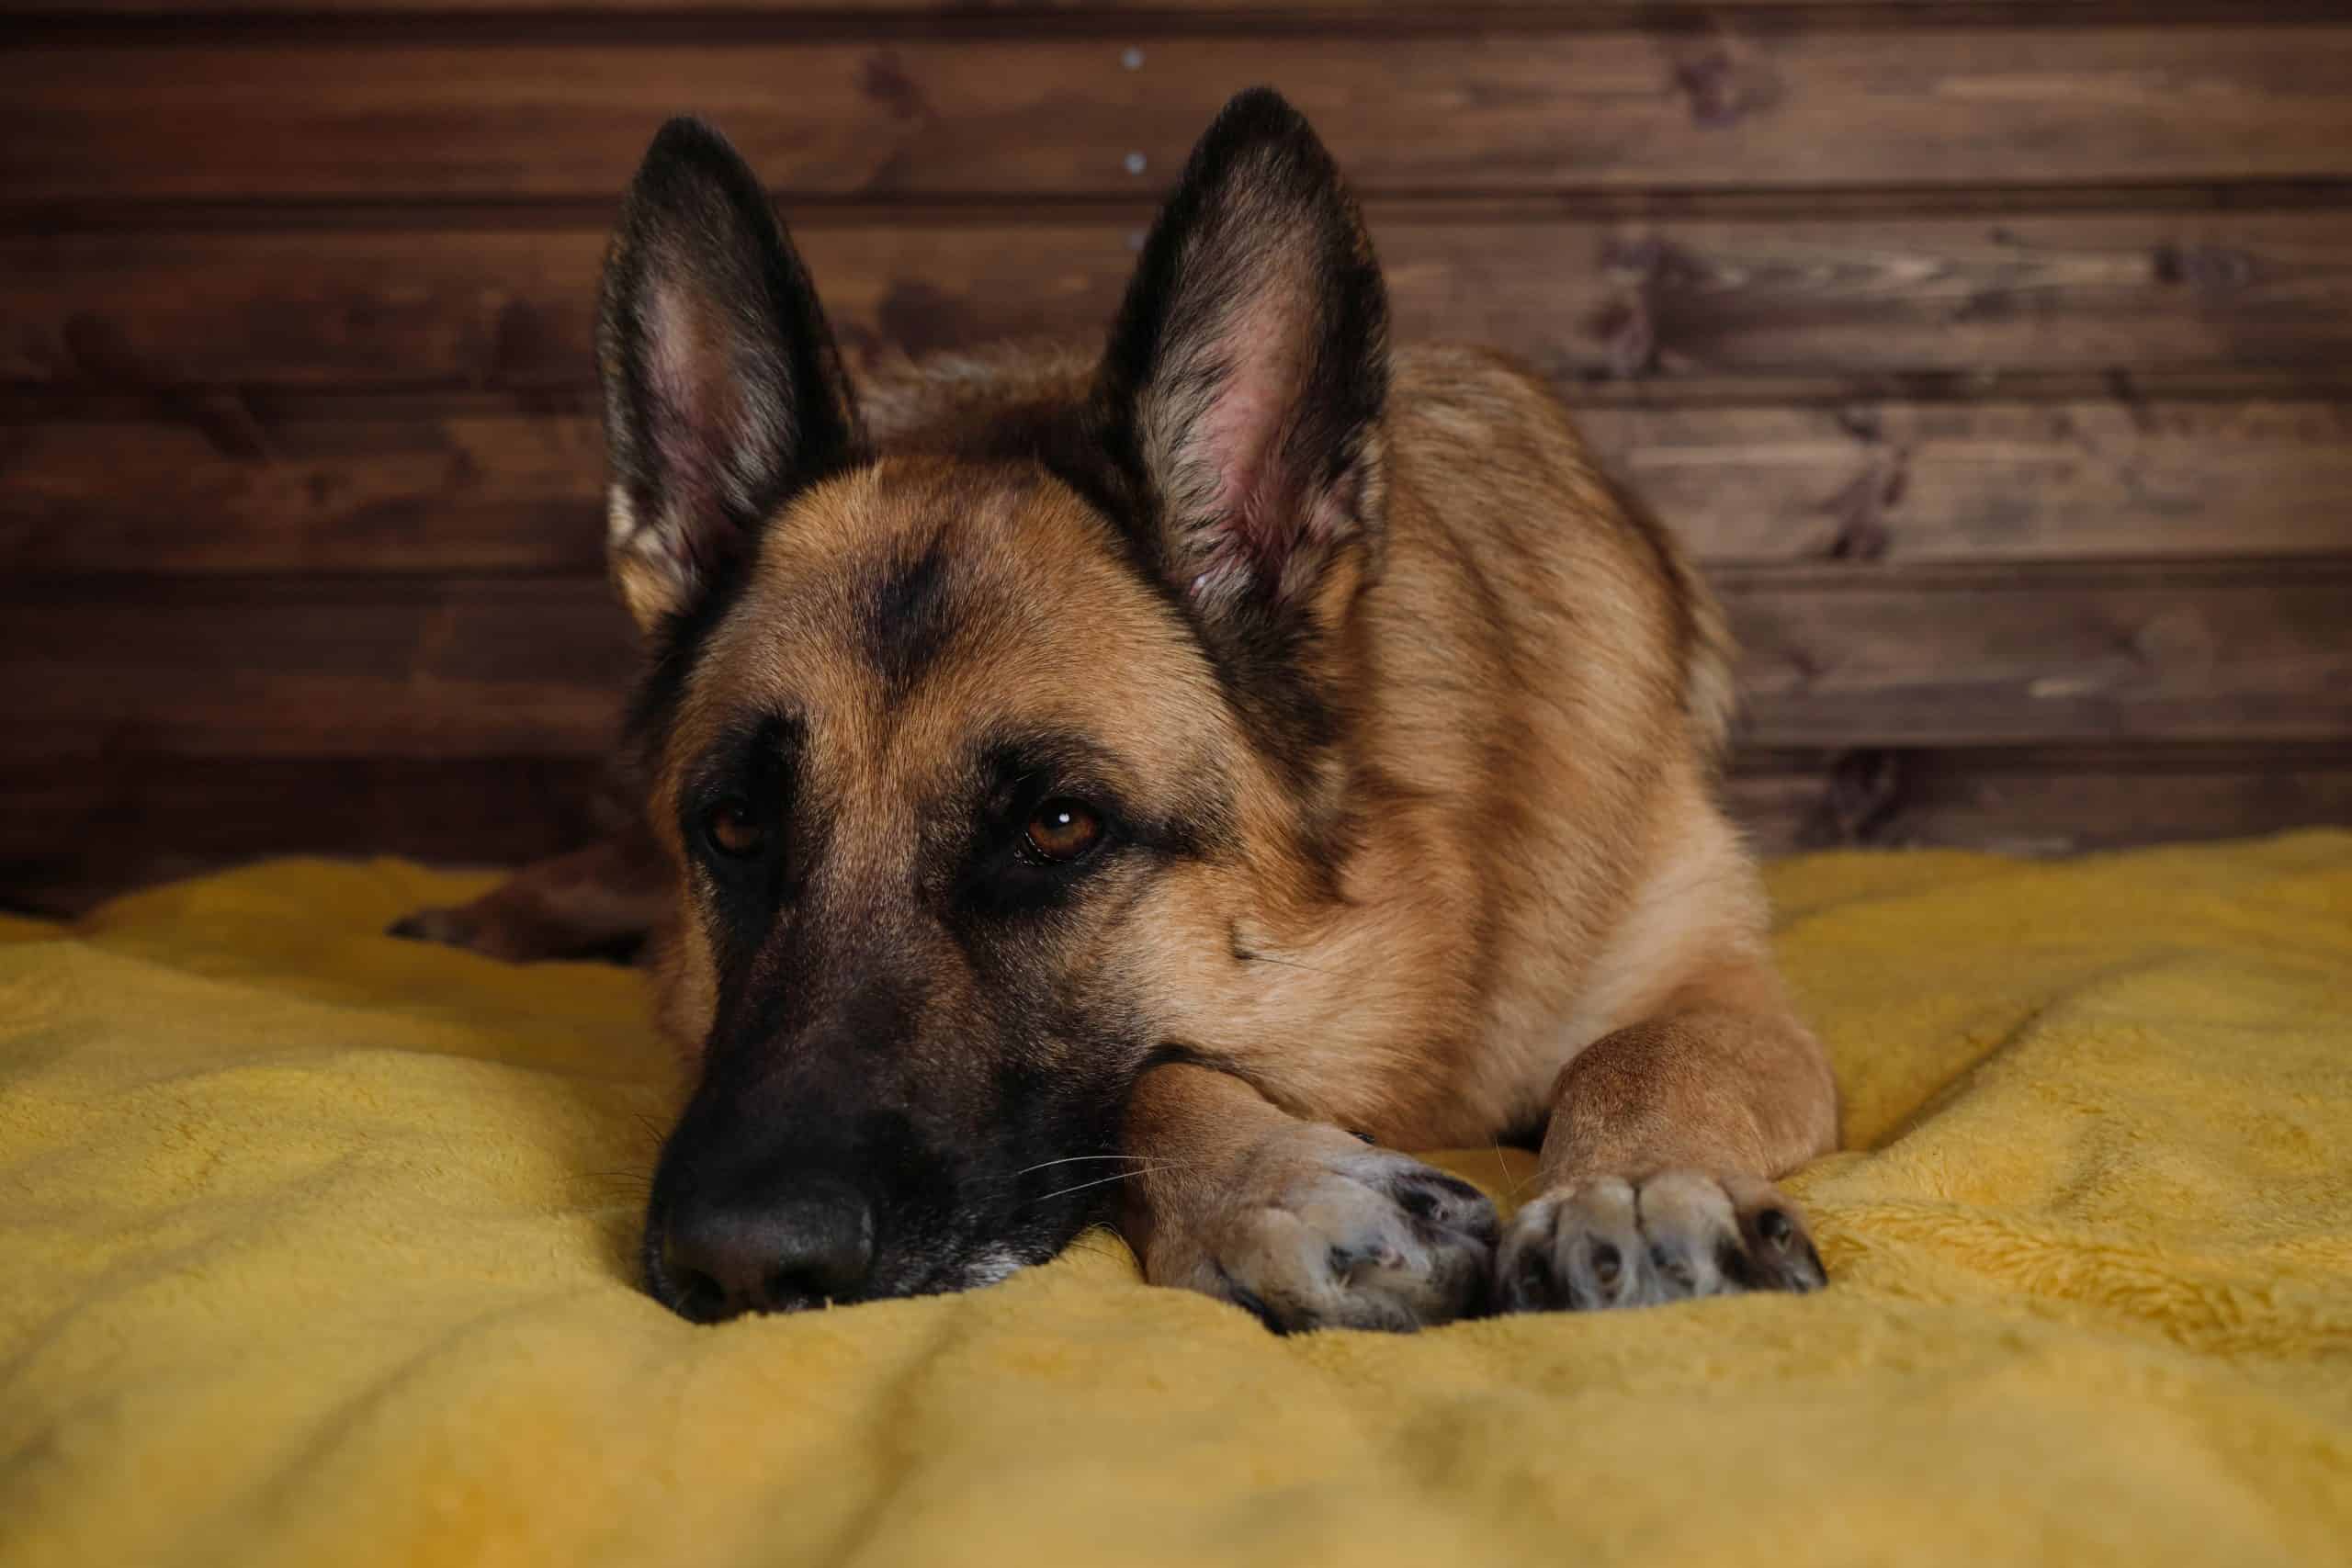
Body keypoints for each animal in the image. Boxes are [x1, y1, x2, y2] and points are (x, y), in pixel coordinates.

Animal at [395, 92, 1844, 1335]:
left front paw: (1640, 1189)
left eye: (1059, 826)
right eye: (738, 824)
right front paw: (1285, 1190)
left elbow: (1645, 1058)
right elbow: (1149, 1072)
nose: (742, 1261)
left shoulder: (1728, 991)